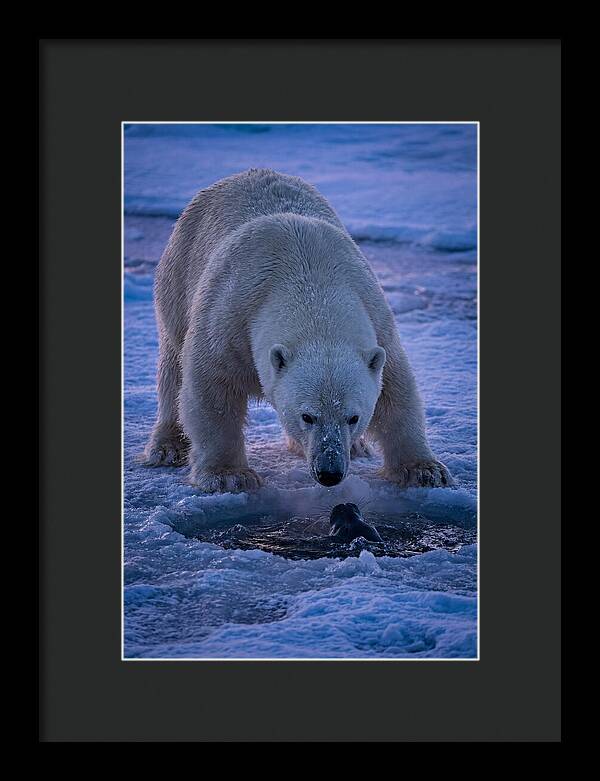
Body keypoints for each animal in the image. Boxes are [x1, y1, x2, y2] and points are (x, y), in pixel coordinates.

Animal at [143, 169, 453, 493]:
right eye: (308, 416)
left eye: (353, 417)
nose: (329, 472)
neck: (310, 279)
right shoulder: (229, 317)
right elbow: (212, 389)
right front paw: (229, 475)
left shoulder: (377, 320)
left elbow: (396, 390)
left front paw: (425, 470)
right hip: (178, 274)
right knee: (173, 365)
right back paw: (167, 447)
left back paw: (357, 448)